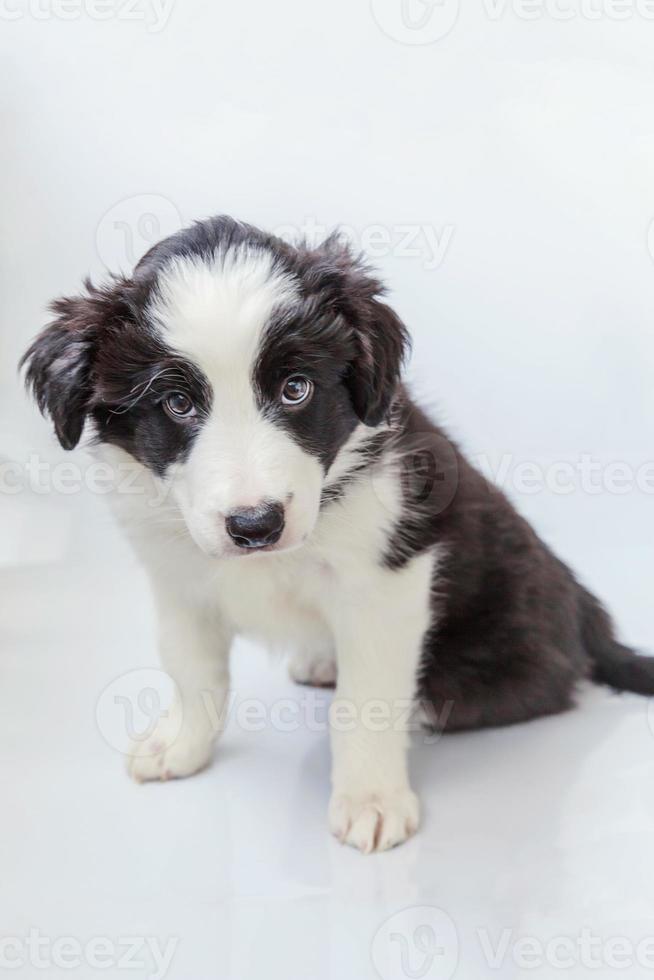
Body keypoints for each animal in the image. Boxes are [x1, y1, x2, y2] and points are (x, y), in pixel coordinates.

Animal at [21, 212, 654, 848]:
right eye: (176, 403)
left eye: (295, 388)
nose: (256, 525)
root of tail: (584, 611)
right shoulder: (178, 577)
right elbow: (191, 667)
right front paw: (181, 745)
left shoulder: (387, 582)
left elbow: (365, 701)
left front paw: (371, 798)